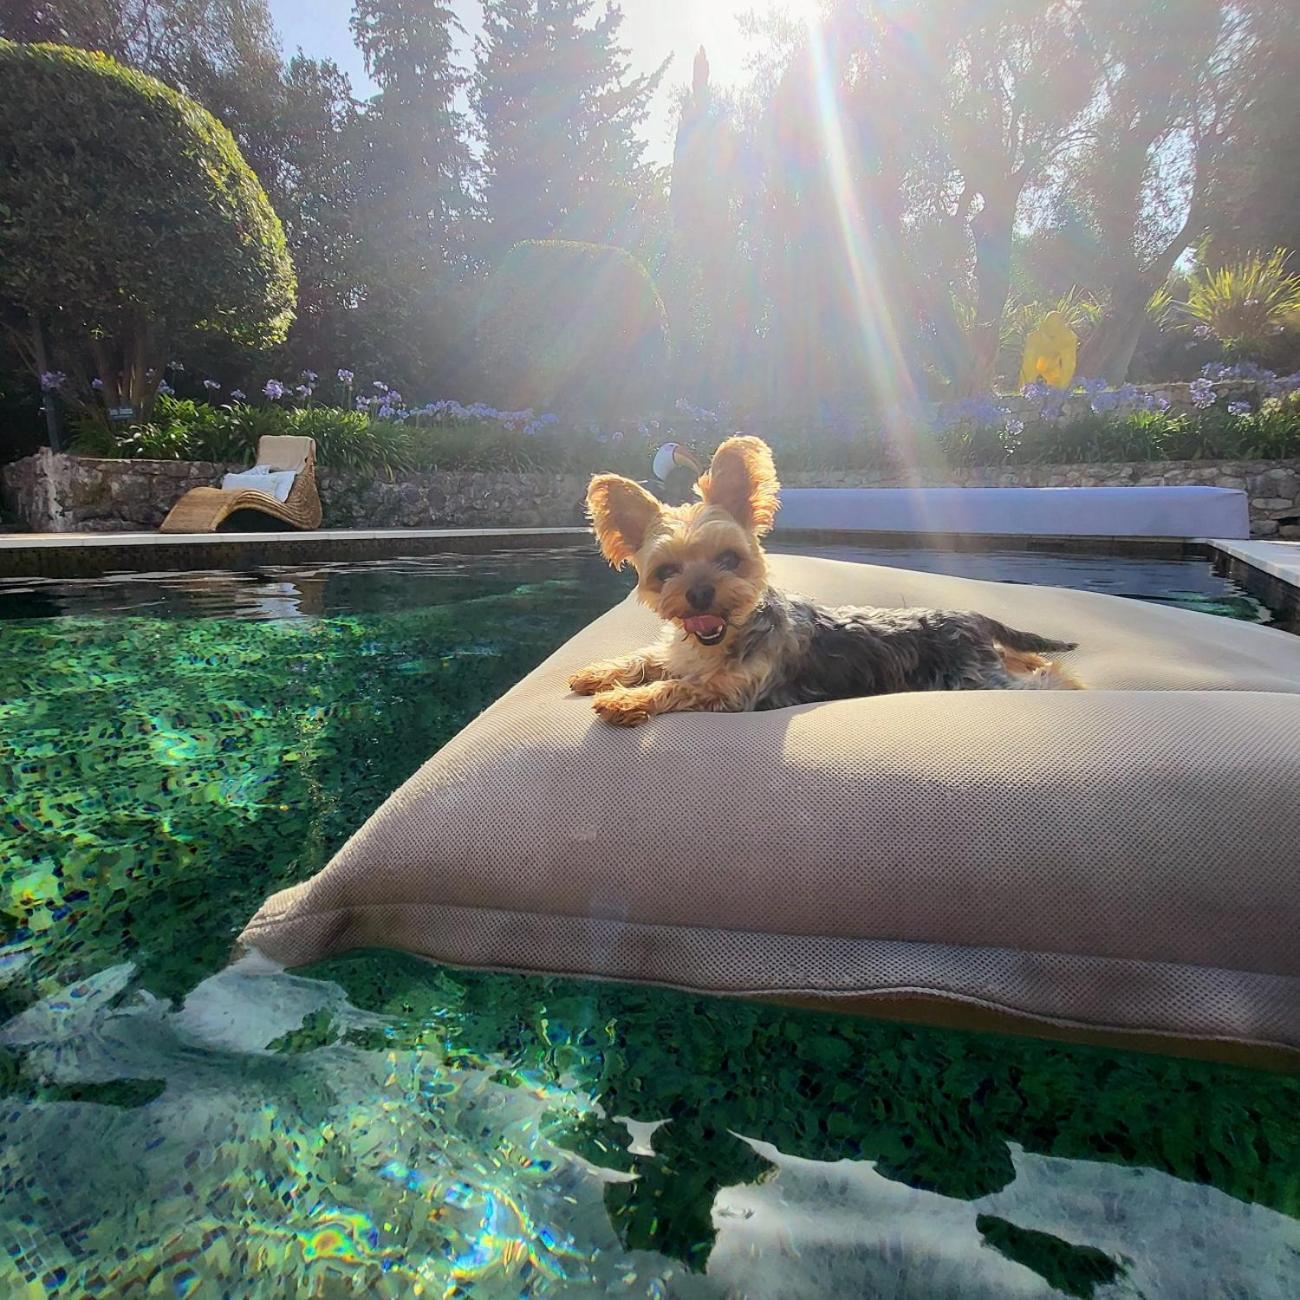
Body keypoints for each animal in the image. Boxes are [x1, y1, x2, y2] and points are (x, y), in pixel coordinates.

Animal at [574, 434, 1081, 722]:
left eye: (729, 559)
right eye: (666, 571)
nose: (700, 594)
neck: (721, 640)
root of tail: (971, 615)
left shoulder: (733, 690)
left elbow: (680, 685)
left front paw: (624, 701)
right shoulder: (678, 652)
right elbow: (645, 658)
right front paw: (597, 674)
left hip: (976, 679)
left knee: (1047, 681)